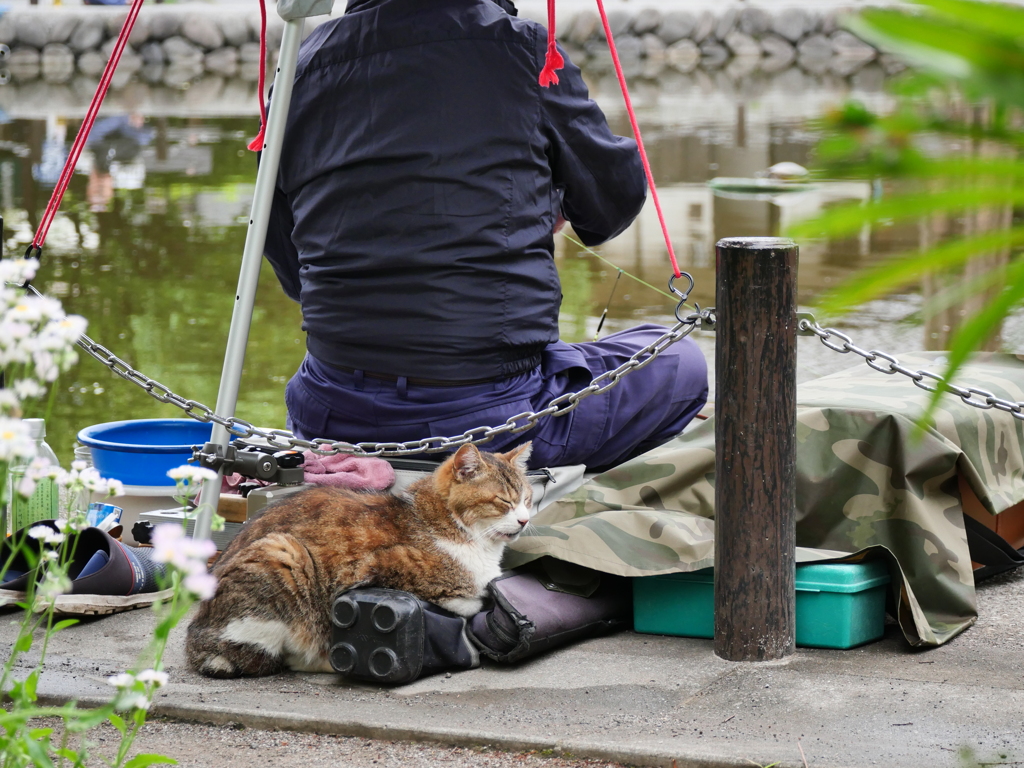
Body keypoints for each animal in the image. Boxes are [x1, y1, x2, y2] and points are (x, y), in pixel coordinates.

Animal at [186, 442, 536, 684]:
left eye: (527, 499)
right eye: (503, 501)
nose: (524, 520)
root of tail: (196, 638)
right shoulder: (372, 567)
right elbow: (468, 597)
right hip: (284, 554)